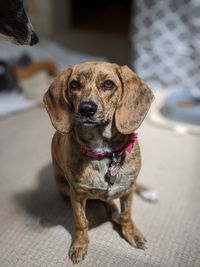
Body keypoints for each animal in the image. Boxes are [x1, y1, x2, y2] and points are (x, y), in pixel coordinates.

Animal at [43, 61, 154, 264]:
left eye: (108, 84)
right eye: (74, 84)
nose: (86, 108)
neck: (105, 152)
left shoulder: (128, 190)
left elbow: (127, 215)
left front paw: (131, 233)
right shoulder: (77, 195)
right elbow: (81, 222)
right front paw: (80, 244)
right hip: (63, 187)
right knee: (106, 202)